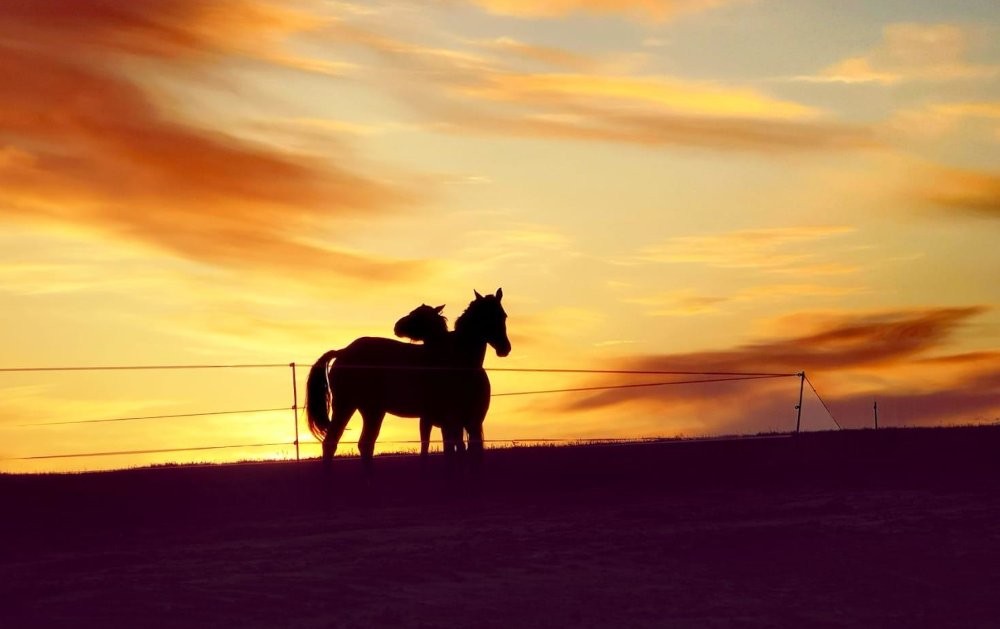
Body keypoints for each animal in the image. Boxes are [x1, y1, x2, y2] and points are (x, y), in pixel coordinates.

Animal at [305, 289, 510, 471]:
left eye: (503, 316)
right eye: (486, 317)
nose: (505, 348)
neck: (457, 361)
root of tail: (343, 351)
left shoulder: (470, 422)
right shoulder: (449, 420)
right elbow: (450, 453)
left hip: (370, 410)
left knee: (362, 444)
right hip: (347, 406)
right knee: (334, 443)